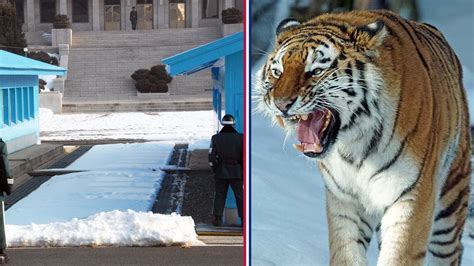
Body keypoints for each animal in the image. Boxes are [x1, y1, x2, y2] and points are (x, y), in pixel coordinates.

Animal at [254, 9, 472, 264]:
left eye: (316, 71)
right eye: (277, 72)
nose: (281, 104)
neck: (354, 145)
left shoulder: (412, 197)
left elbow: (398, 255)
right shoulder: (345, 201)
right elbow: (346, 254)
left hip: (451, 201)